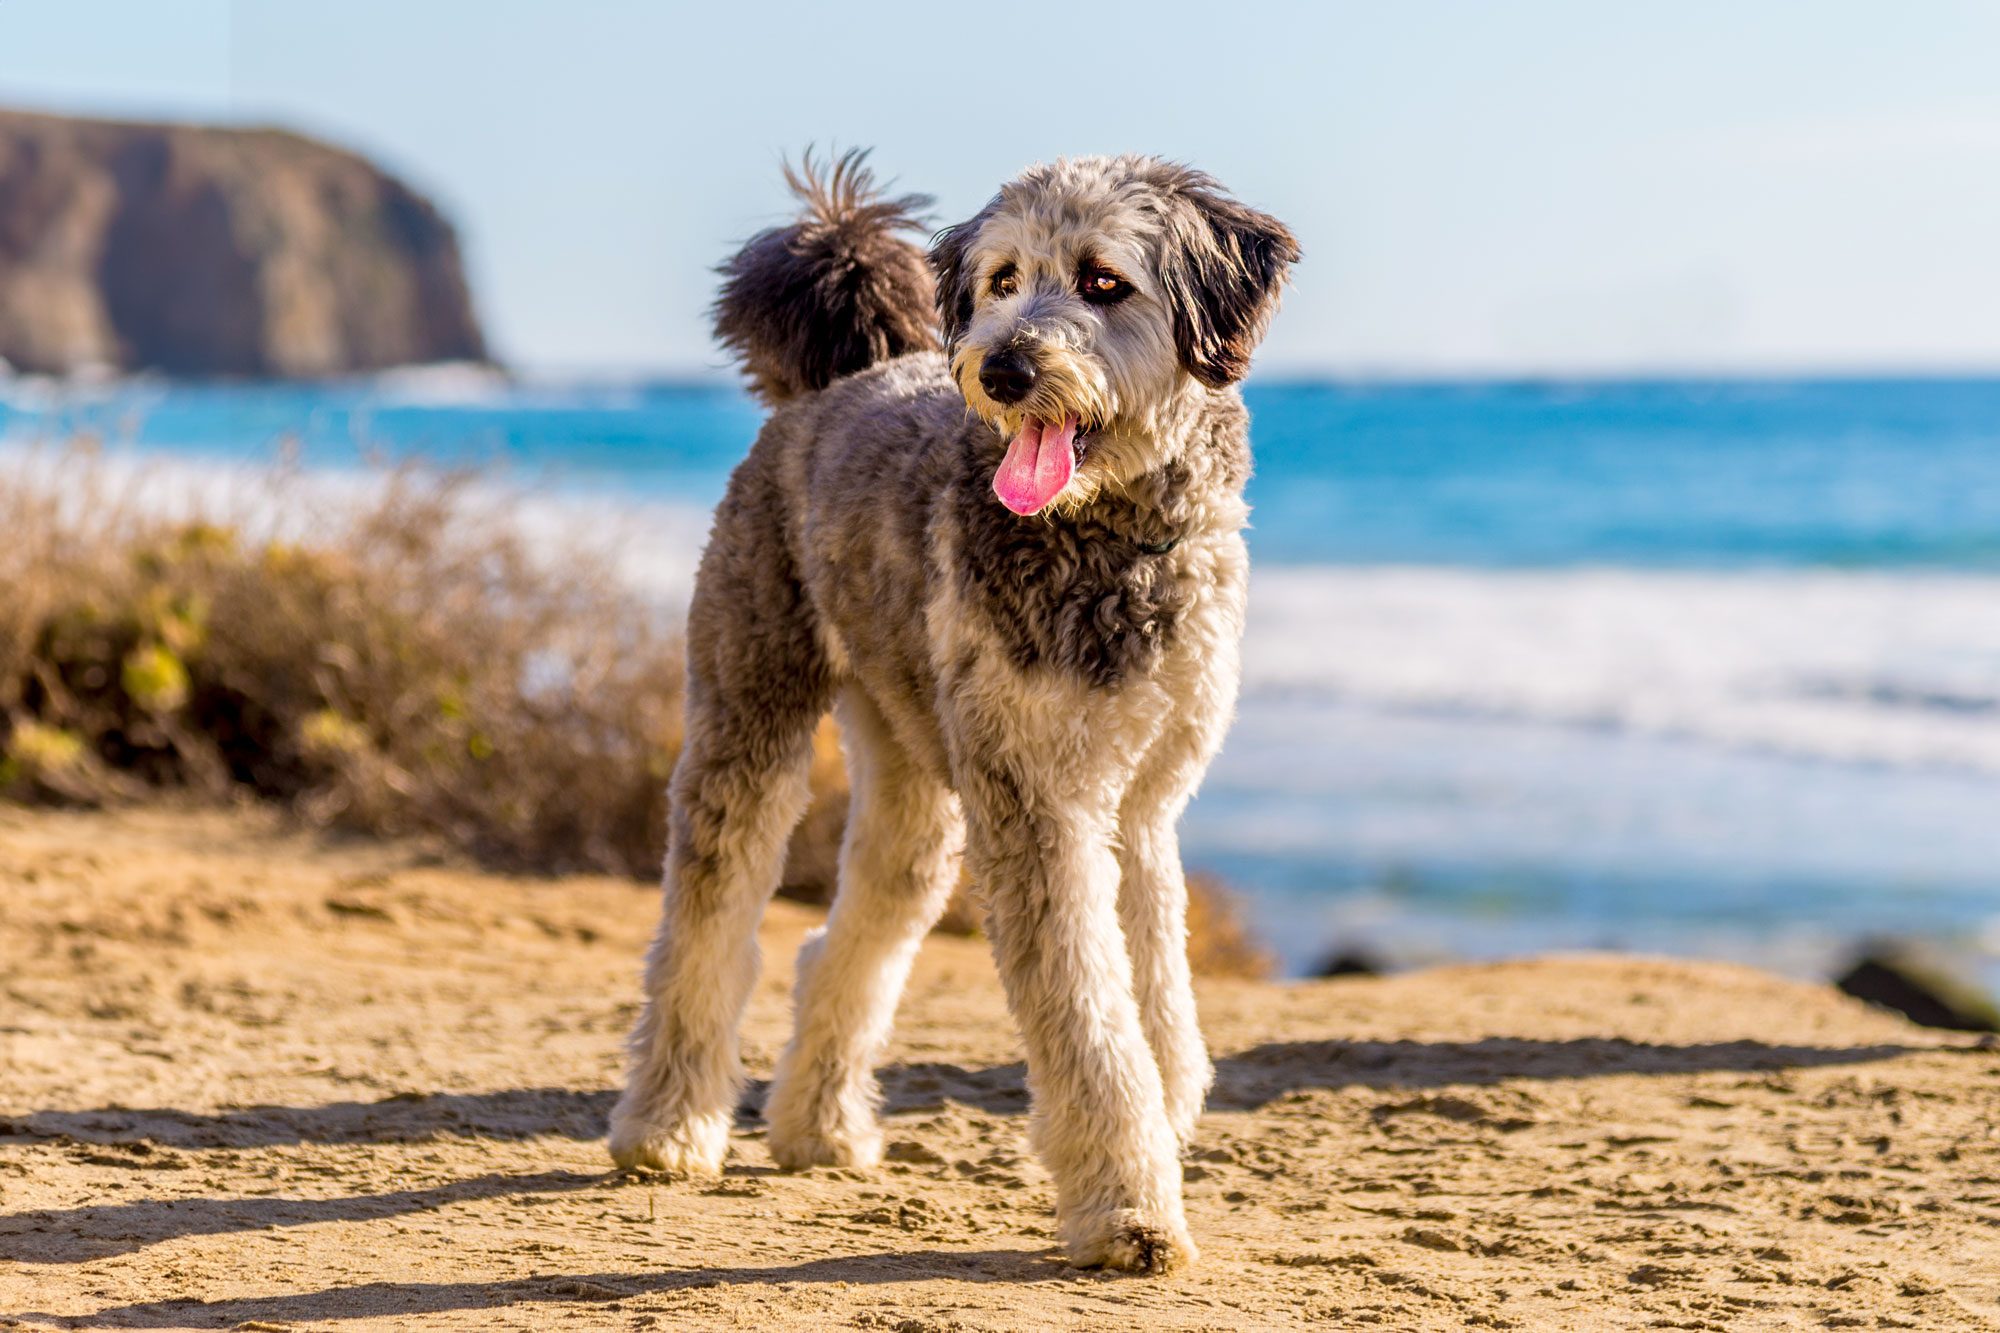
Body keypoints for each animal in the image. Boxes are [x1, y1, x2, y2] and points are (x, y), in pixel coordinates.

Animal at [608, 150, 1296, 1272]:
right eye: (1003, 278)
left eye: (1103, 280)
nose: (1003, 368)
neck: (1107, 541)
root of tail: (831, 384)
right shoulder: (1039, 808)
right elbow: (1092, 1019)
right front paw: (1128, 1205)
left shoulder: (1142, 806)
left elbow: (1155, 992)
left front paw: (1164, 1112)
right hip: (750, 714)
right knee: (706, 927)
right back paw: (666, 1125)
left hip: (914, 779)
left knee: (848, 937)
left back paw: (818, 1124)